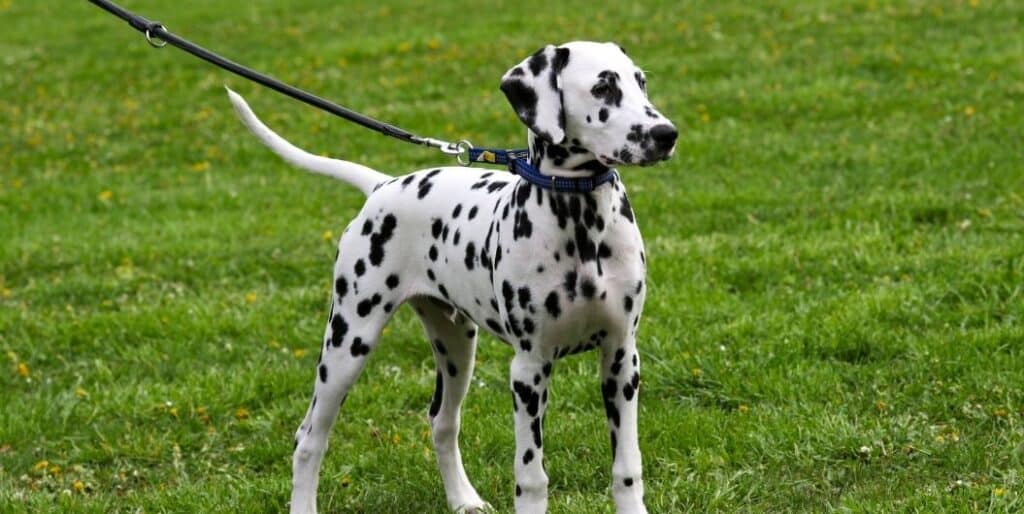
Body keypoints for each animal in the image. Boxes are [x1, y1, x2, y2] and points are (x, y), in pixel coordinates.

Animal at [230, 41, 679, 514]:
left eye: (640, 81)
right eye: (602, 87)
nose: (667, 134)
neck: (582, 227)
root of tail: (383, 185)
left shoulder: (621, 358)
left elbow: (626, 468)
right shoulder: (529, 369)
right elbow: (531, 477)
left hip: (456, 346)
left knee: (442, 422)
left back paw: (463, 499)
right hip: (347, 343)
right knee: (309, 438)